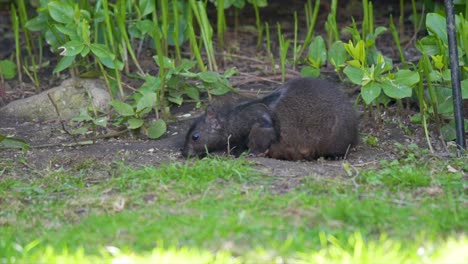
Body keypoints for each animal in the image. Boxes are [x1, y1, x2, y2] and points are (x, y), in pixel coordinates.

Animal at [181, 77, 356, 160]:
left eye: (195, 137)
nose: (184, 153)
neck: (232, 121)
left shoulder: (260, 121)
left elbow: (261, 137)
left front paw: (252, 153)